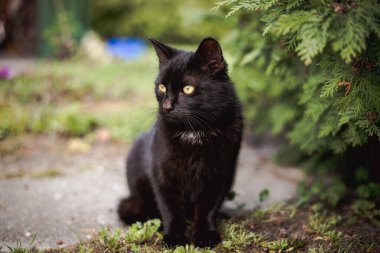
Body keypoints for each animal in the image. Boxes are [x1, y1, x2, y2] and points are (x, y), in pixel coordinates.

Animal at [118, 37, 243, 247]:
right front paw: (175, 237)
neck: (194, 131)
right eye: (162, 87)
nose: (167, 106)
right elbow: (171, 208)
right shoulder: (162, 172)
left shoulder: (220, 173)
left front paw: (205, 235)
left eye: (187, 89)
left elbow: (208, 207)